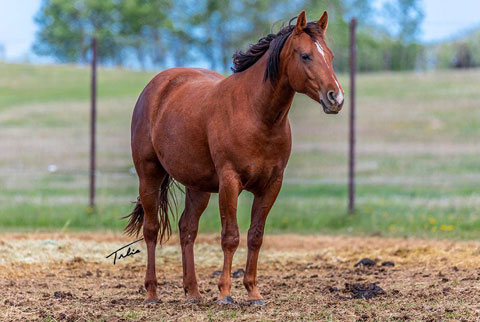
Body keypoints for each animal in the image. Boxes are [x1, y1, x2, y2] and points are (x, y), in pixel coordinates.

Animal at [124, 10, 342, 306]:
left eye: (330, 56)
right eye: (306, 56)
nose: (336, 98)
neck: (256, 114)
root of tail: (158, 85)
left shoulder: (271, 185)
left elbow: (255, 236)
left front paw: (253, 292)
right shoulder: (230, 182)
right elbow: (230, 236)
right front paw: (225, 293)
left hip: (198, 186)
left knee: (187, 229)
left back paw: (193, 292)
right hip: (149, 175)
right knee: (151, 229)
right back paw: (151, 293)